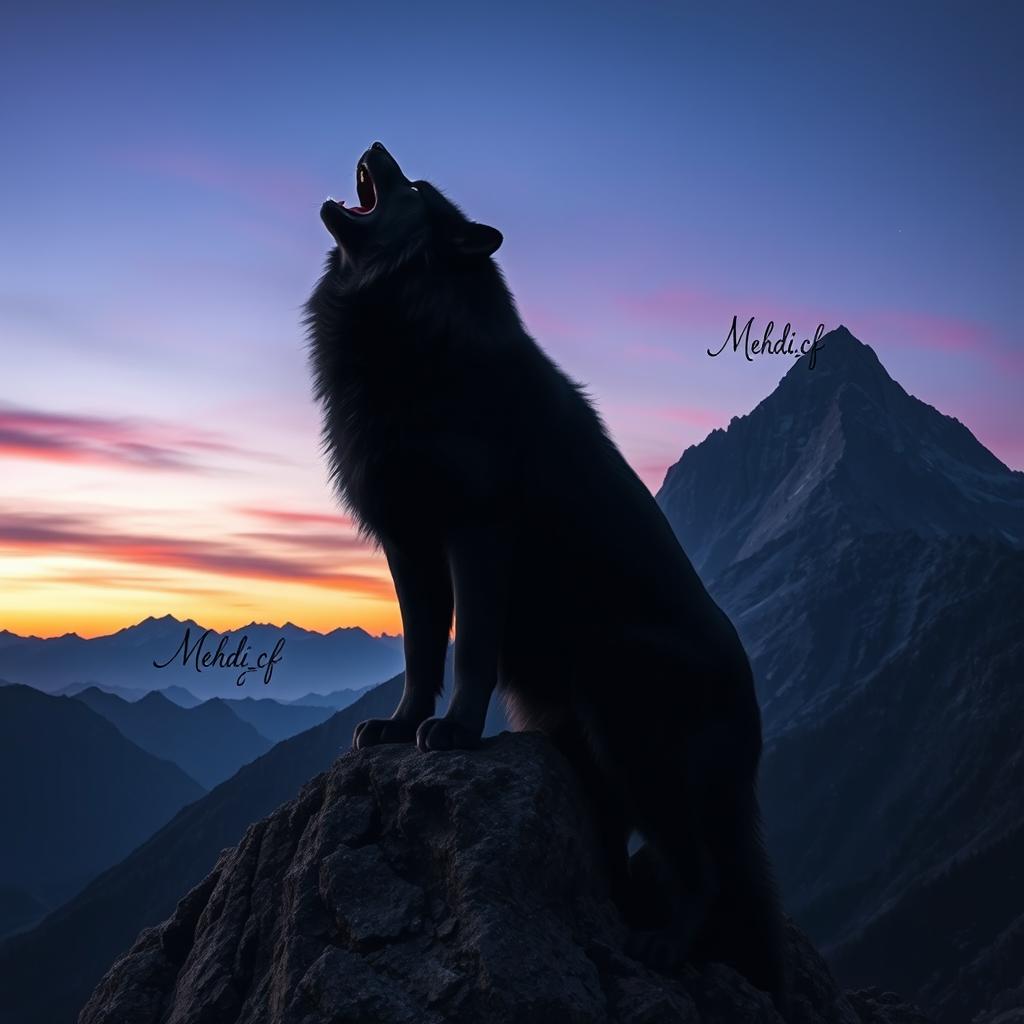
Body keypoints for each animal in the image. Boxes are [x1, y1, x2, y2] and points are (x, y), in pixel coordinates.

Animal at [305, 142, 787, 1006]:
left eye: (414, 186)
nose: (376, 145)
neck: (413, 332)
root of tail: (753, 720)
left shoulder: (476, 535)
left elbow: (469, 648)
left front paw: (457, 733)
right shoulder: (409, 547)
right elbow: (419, 651)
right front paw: (399, 724)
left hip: (618, 703)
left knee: (697, 869)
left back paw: (663, 944)